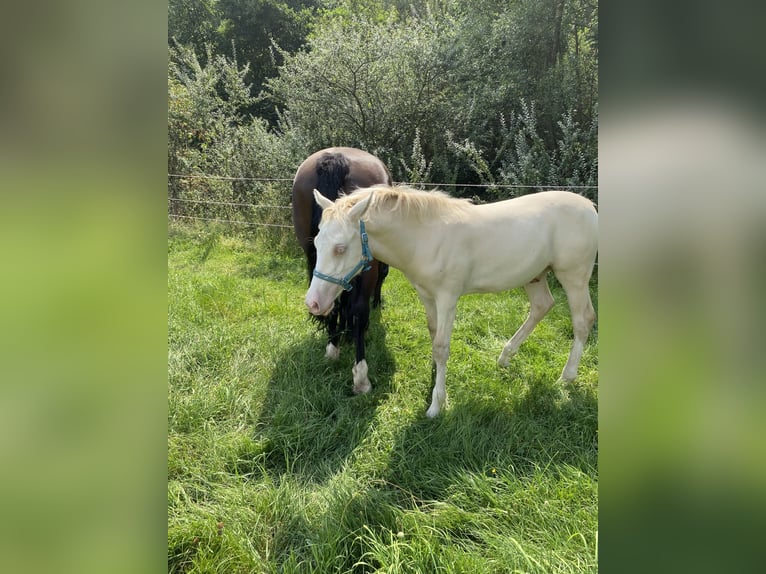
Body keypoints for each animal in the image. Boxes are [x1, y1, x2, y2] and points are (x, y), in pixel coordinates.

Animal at [305, 185, 598, 417]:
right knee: (542, 306)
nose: (313, 303)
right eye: (317, 242)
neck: (424, 237)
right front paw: (435, 376)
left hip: (574, 277)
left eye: (340, 248)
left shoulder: (448, 298)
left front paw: (437, 405)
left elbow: (441, 346)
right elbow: (433, 334)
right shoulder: (427, 296)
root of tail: (590, 207)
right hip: (535, 276)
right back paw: (505, 357)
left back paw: (567, 377)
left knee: (583, 320)